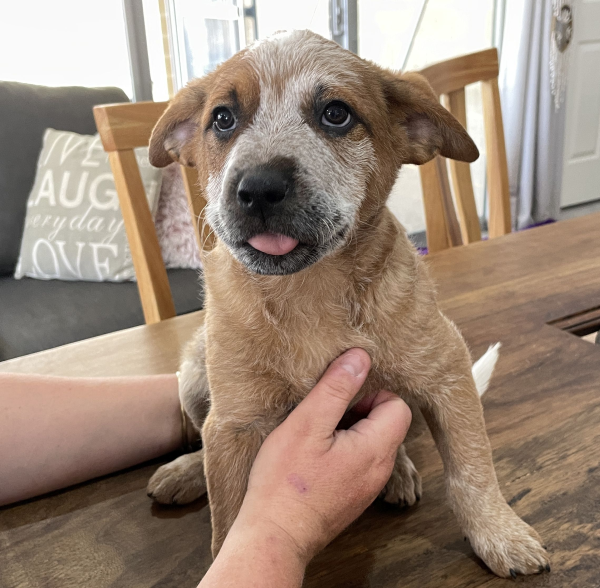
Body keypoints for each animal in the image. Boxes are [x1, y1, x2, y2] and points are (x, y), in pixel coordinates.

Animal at [146, 29, 548, 576]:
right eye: (223, 118)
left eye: (336, 113)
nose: (258, 187)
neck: (308, 294)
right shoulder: (236, 423)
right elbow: (228, 528)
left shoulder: (447, 368)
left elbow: (472, 467)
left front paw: (499, 533)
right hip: (192, 374)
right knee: (201, 433)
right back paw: (184, 471)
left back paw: (397, 471)